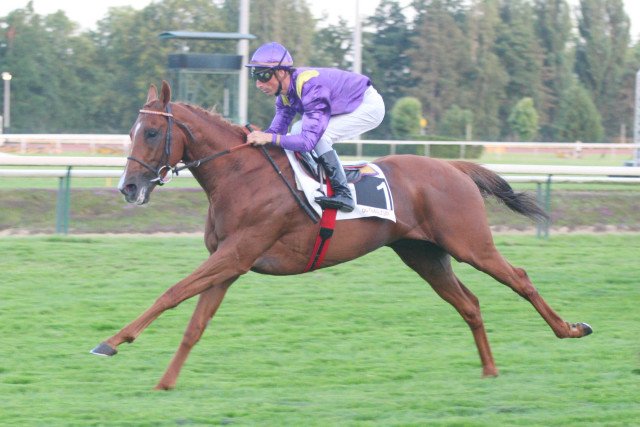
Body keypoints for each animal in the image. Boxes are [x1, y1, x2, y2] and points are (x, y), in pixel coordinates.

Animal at [91, 80, 592, 390]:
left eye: (151, 131)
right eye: (132, 131)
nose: (127, 188)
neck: (240, 175)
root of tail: (452, 166)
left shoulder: (236, 254)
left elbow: (171, 293)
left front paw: (111, 342)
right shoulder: (229, 264)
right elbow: (195, 323)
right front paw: (165, 381)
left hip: (470, 243)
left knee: (520, 278)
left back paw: (570, 329)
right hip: (423, 254)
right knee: (468, 303)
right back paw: (489, 369)